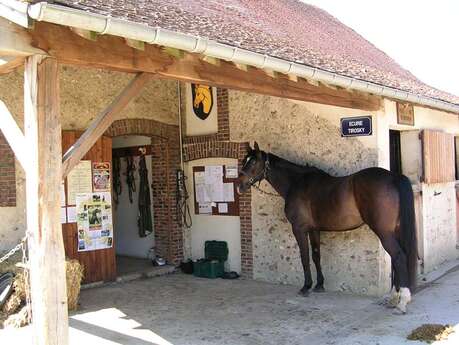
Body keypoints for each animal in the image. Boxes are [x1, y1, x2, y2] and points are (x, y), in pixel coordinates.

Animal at [239, 142, 418, 312]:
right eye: (244, 161)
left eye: (253, 162)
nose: (239, 186)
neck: (296, 183)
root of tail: (393, 177)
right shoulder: (314, 230)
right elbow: (316, 255)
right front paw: (319, 285)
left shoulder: (299, 229)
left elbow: (304, 257)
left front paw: (306, 287)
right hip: (394, 231)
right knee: (396, 258)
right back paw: (394, 297)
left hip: (384, 232)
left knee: (399, 256)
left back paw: (402, 301)